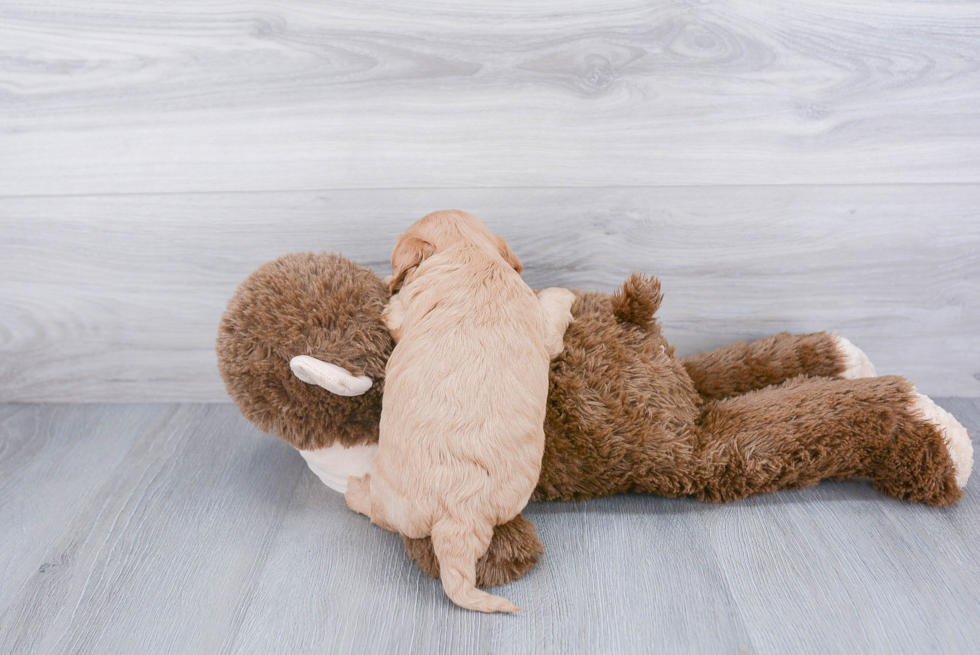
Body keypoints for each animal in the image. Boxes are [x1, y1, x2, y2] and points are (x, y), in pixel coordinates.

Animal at [344, 211, 576, 616]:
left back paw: (355, 491)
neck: (470, 253)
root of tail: (459, 513)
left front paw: (389, 284)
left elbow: (394, 310)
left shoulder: (406, 307)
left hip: (394, 501)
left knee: (380, 515)